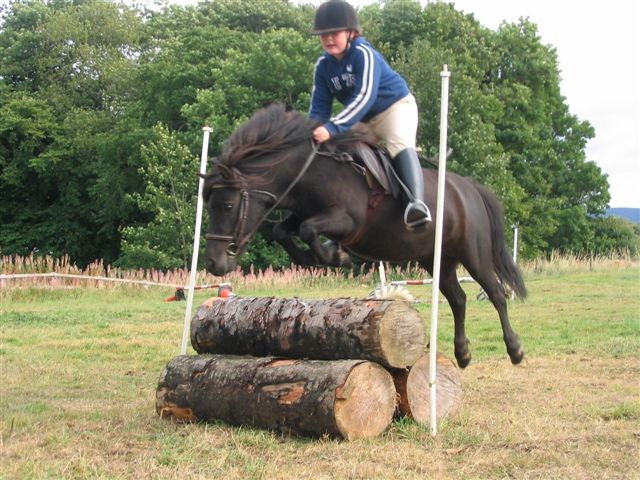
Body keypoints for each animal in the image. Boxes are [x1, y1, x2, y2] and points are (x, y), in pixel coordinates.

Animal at [200, 105, 524, 368]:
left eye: (227, 205)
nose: (214, 263)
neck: (312, 171)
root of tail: (469, 188)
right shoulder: (302, 213)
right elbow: (283, 230)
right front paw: (316, 257)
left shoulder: (346, 219)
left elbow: (308, 230)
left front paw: (335, 255)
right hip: (436, 259)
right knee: (458, 299)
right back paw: (463, 353)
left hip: (474, 253)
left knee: (496, 293)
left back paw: (515, 349)